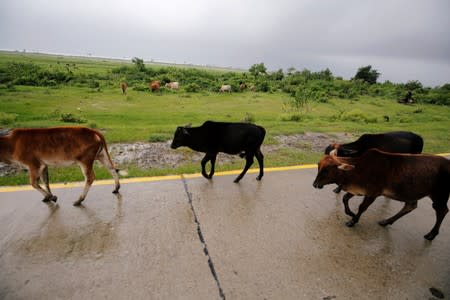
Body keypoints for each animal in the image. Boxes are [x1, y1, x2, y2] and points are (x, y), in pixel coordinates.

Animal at [312, 150, 450, 241]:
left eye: (326, 170)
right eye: (318, 166)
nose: (315, 184)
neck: (357, 170)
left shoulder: (373, 193)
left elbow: (362, 207)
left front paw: (353, 221)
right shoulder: (358, 190)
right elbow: (345, 198)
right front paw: (351, 213)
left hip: (439, 195)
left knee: (442, 211)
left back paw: (431, 234)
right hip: (413, 194)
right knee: (410, 206)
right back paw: (386, 221)